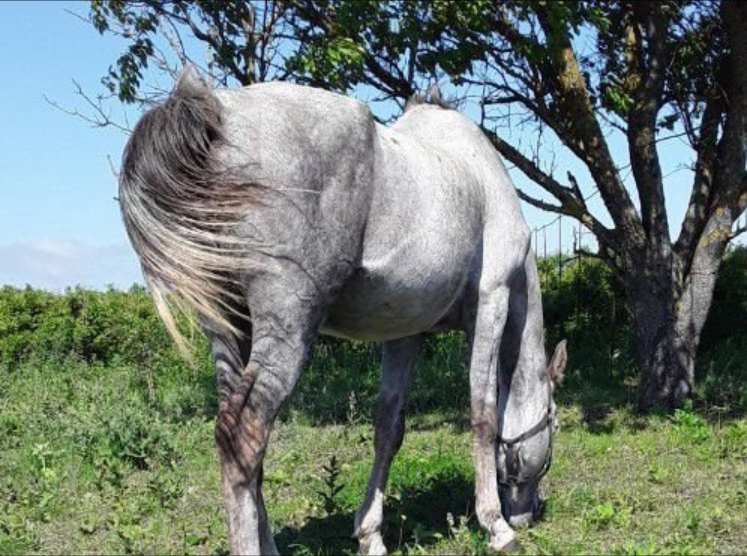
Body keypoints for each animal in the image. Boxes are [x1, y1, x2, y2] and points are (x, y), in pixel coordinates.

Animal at [119, 66, 567, 555]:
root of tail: (216, 113)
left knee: (239, 442)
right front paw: (495, 524)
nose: (529, 511)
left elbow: (389, 427)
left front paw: (370, 534)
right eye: (554, 420)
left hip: (228, 330)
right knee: (244, 436)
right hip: (288, 328)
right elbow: (483, 413)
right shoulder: (490, 302)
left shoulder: (405, 332)